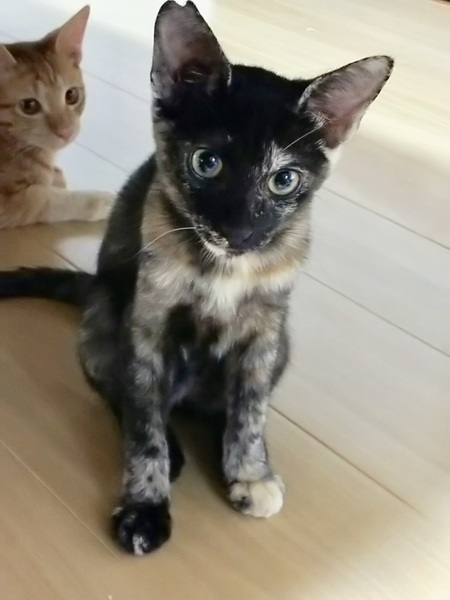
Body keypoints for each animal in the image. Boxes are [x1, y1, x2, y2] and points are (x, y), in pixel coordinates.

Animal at [0, 5, 113, 228]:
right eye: (29, 106)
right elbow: (44, 199)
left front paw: (55, 174)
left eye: (71, 95)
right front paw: (103, 201)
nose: (66, 132)